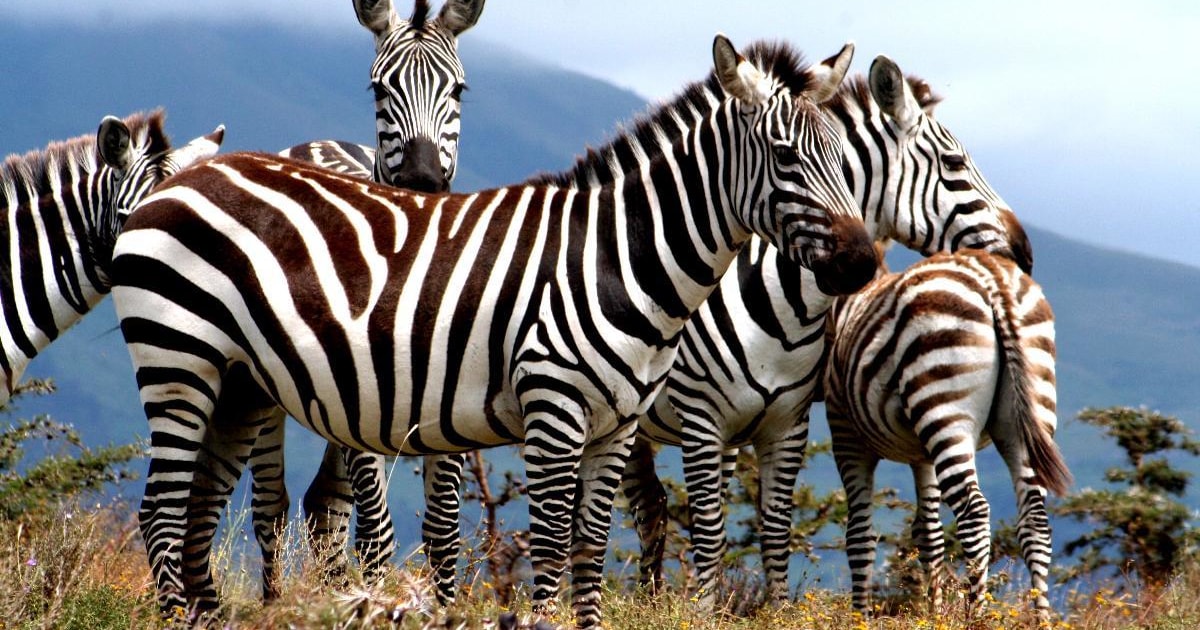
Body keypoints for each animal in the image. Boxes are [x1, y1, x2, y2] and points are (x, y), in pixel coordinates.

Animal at [109, 35, 877, 627]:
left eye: (846, 160)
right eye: (784, 156)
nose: (864, 262)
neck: (616, 259)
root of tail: (176, 182)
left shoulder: (618, 425)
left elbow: (589, 552)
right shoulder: (554, 411)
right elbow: (551, 546)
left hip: (239, 386)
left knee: (197, 515)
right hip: (179, 364)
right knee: (161, 515)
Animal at [420, 52, 1037, 608]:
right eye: (953, 163)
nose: (1024, 251)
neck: (782, 299)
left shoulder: (782, 421)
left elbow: (771, 532)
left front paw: (769, 610)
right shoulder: (701, 418)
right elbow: (711, 533)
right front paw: (702, 611)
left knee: (646, 508)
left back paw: (647, 600)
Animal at [823, 248, 1070, 619]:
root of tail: (991, 275)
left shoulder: (846, 434)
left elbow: (860, 535)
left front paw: (859, 618)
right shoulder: (922, 455)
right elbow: (928, 533)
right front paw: (932, 613)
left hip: (943, 401)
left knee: (974, 514)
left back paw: (976, 616)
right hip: (1027, 412)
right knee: (1035, 521)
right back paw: (1042, 619)